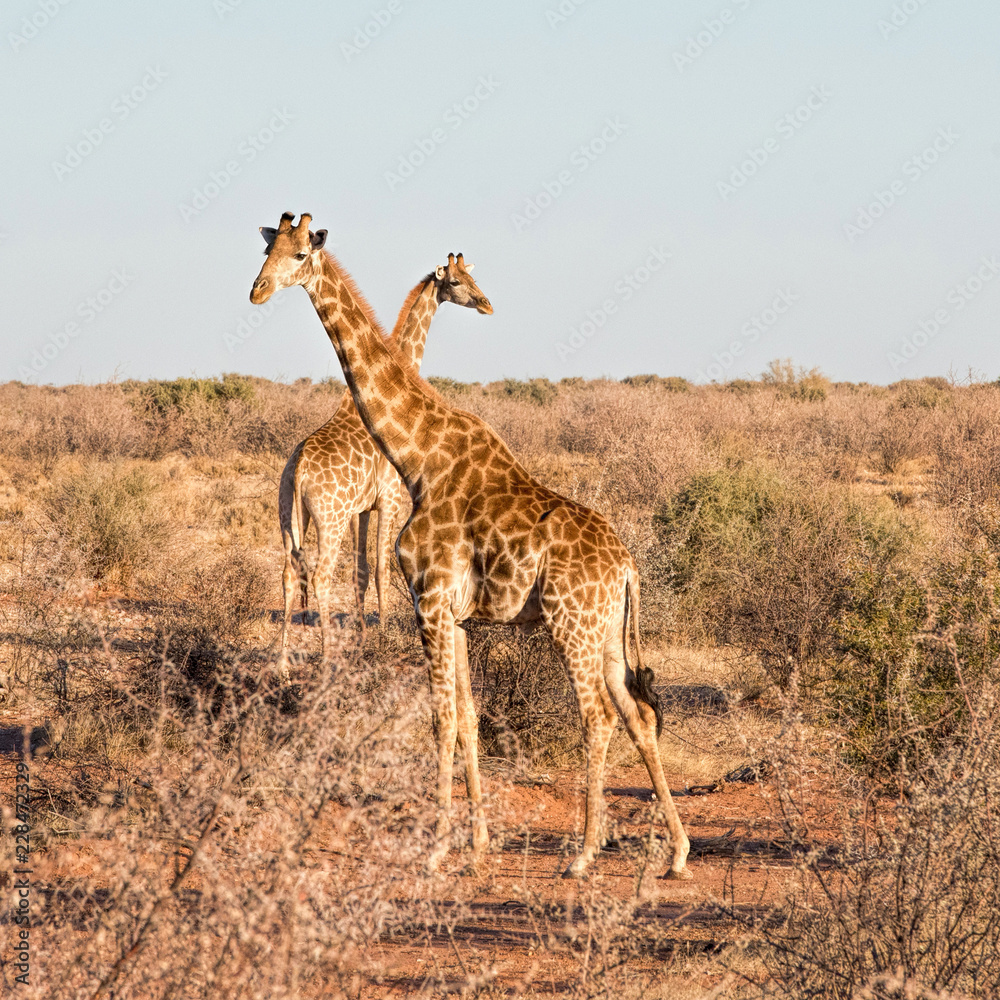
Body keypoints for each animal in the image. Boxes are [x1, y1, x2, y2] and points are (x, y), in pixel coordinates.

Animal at [278, 254, 492, 667]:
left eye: (474, 277)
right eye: (457, 282)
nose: (487, 304)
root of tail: (299, 471)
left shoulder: (362, 509)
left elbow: (361, 573)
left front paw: (363, 636)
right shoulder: (390, 499)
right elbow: (380, 569)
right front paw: (381, 634)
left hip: (289, 514)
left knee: (288, 573)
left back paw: (280, 665)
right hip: (330, 518)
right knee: (321, 575)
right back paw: (326, 657)